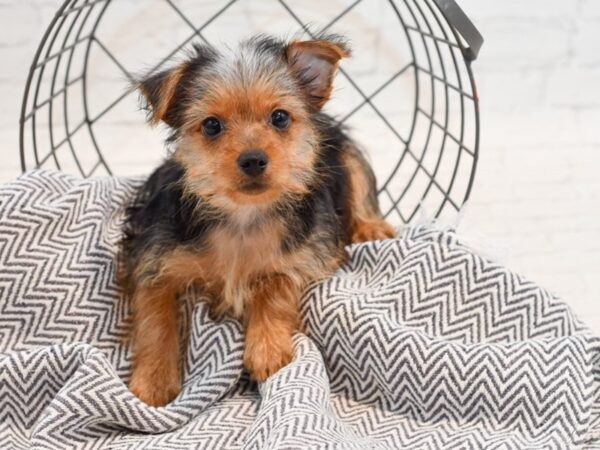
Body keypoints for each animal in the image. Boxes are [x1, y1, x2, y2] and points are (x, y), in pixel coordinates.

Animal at [119, 34, 396, 408]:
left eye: (279, 117)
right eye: (212, 125)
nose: (253, 160)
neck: (242, 216)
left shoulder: (309, 253)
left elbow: (276, 283)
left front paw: (266, 348)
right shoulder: (151, 256)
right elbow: (154, 315)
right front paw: (153, 381)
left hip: (347, 154)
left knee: (362, 188)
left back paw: (371, 227)